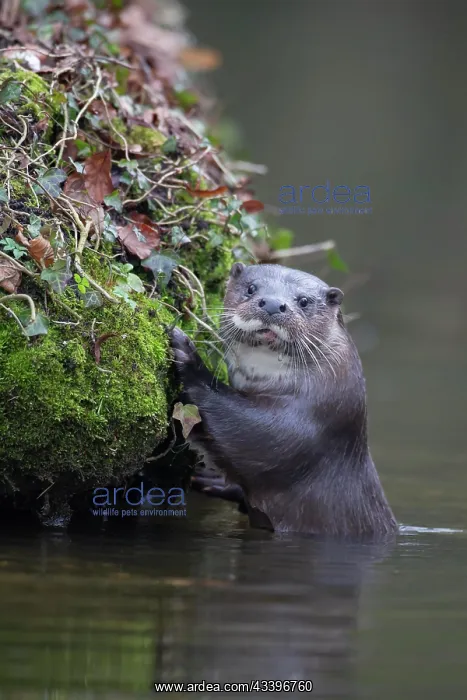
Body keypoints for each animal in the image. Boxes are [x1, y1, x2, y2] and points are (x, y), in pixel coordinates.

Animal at [170, 263, 397, 538]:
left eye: (304, 301)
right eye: (251, 288)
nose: (271, 304)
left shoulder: (310, 423)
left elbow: (249, 434)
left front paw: (189, 358)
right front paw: (213, 480)